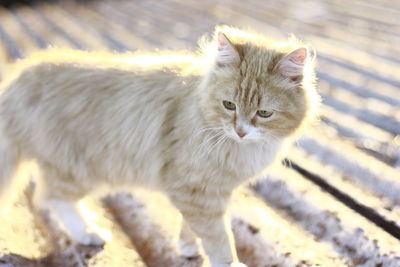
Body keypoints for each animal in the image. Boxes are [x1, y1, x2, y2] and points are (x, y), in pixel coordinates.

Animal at [0, 25, 318, 267]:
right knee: (52, 197)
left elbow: (194, 228)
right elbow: (218, 236)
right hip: (79, 168)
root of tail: (20, 79)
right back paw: (88, 232)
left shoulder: (208, 192)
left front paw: (188, 248)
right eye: (229, 105)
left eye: (264, 113)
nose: (240, 131)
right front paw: (226, 262)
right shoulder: (195, 189)